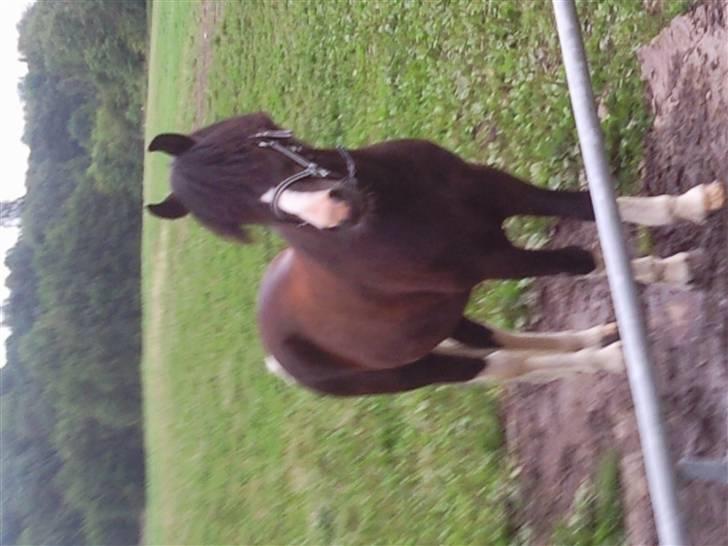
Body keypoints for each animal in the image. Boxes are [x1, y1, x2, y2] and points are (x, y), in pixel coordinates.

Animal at [146, 112, 725, 396]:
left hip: (439, 322)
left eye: (251, 151)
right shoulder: (488, 262)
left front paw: (691, 206)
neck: (396, 203)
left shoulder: (497, 191)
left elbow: (587, 206)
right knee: (500, 366)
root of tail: (274, 357)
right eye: (250, 218)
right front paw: (673, 269)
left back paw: (597, 337)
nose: (335, 211)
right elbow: (582, 260)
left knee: (496, 341)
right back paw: (612, 356)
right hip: (413, 371)